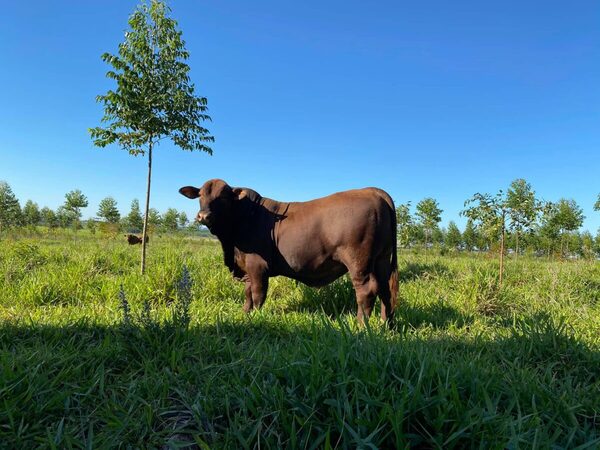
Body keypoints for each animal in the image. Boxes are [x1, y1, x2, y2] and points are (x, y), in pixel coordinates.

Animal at [179, 179, 398, 324]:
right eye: (200, 196)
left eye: (223, 197)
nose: (203, 216)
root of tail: (373, 191)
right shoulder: (247, 267)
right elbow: (248, 293)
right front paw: (245, 313)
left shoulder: (258, 266)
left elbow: (257, 294)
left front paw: (256, 316)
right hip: (381, 259)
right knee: (385, 290)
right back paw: (386, 324)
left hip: (358, 261)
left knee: (367, 291)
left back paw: (361, 326)